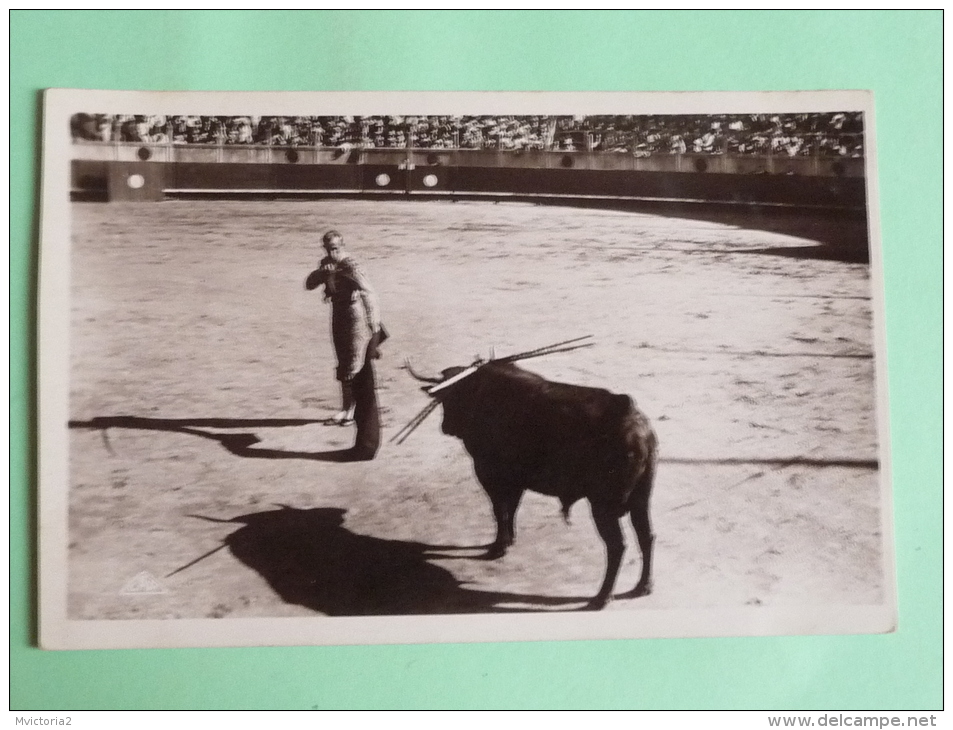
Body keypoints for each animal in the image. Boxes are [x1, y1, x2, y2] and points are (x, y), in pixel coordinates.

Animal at [398, 336, 660, 608]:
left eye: (449, 398)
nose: (446, 427)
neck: (481, 393)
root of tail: (632, 418)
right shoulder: (516, 480)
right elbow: (512, 508)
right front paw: (508, 540)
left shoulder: (488, 473)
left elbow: (500, 509)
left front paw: (498, 547)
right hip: (641, 499)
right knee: (646, 535)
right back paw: (643, 586)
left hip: (603, 506)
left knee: (617, 546)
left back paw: (601, 597)